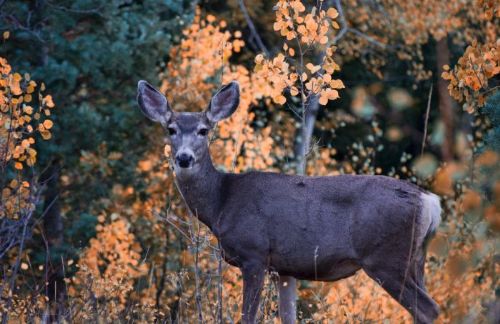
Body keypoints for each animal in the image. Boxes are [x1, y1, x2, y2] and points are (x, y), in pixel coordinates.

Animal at [137, 79, 442, 322]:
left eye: (203, 130)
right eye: (171, 129)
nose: (184, 158)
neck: (221, 202)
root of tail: (429, 201)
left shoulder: (254, 253)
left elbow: (247, 318)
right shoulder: (285, 268)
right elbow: (288, 316)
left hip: (386, 257)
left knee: (428, 309)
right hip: (415, 260)